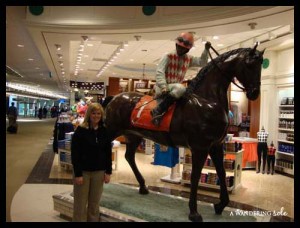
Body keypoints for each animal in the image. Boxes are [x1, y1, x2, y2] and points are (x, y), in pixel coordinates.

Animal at [104, 45, 264, 222]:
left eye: (261, 64)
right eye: (249, 64)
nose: (254, 93)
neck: (207, 101)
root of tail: (114, 98)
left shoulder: (216, 146)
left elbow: (221, 172)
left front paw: (221, 205)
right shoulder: (200, 147)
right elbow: (195, 176)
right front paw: (194, 212)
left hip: (133, 136)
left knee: (129, 157)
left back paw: (143, 186)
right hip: (112, 130)